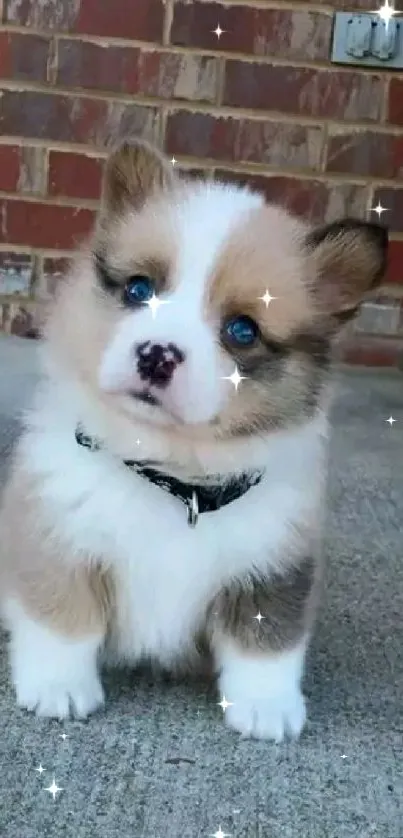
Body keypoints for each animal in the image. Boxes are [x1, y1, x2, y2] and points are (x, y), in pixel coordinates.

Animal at [0, 139, 390, 740]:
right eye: (139, 289)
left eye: (242, 329)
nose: (156, 355)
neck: (172, 477)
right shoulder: (57, 533)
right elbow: (63, 617)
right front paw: (58, 688)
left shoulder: (274, 565)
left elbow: (266, 642)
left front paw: (267, 708)